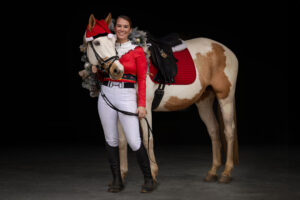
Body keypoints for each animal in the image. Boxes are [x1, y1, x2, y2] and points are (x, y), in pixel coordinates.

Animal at [81, 13, 239, 184]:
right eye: (97, 42)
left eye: (112, 41)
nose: (117, 70)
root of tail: (226, 50)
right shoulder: (121, 110)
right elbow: (123, 141)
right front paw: (122, 176)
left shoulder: (144, 108)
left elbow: (147, 139)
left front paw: (153, 173)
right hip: (204, 101)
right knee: (214, 131)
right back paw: (213, 171)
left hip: (225, 98)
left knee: (228, 131)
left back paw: (226, 172)